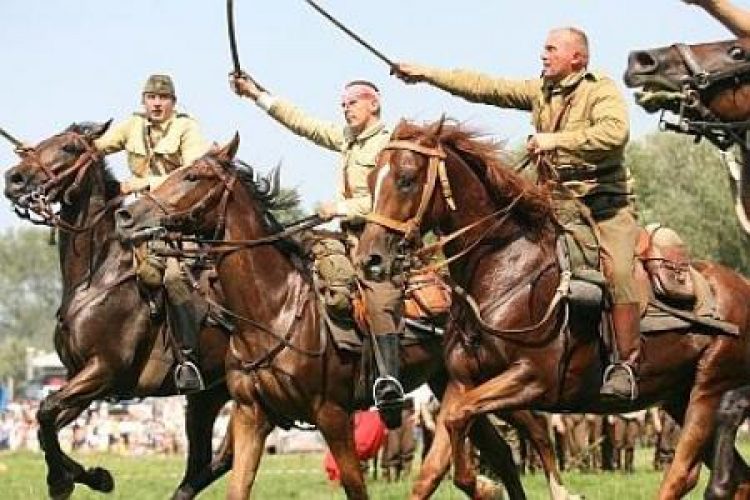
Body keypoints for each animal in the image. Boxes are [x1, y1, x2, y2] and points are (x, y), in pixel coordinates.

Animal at [2, 122, 232, 500]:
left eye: (68, 148)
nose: (14, 179)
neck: (97, 277)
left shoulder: (103, 371)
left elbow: (45, 412)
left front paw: (63, 480)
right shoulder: (81, 378)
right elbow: (44, 425)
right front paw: (91, 477)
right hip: (207, 397)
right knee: (212, 458)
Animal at [113, 137, 580, 500]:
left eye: (193, 177)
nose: (127, 216)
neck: (274, 310)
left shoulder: (332, 416)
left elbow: (355, 486)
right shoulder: (250, 416)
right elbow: (237, 486)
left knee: (535, 434)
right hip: (452, 386)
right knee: (500, 452)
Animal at [356, 119, 750, 498]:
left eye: (406, 179)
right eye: (372, 180)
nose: (370, 259)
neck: (506, 272)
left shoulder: (533, 379)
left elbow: (459, 420)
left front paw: (488, 487)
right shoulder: (462, 383)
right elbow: (434, 466)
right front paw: (483, 485)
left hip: (708, 390)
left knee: (683, 474)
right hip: (677, 396)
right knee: (735, 478)